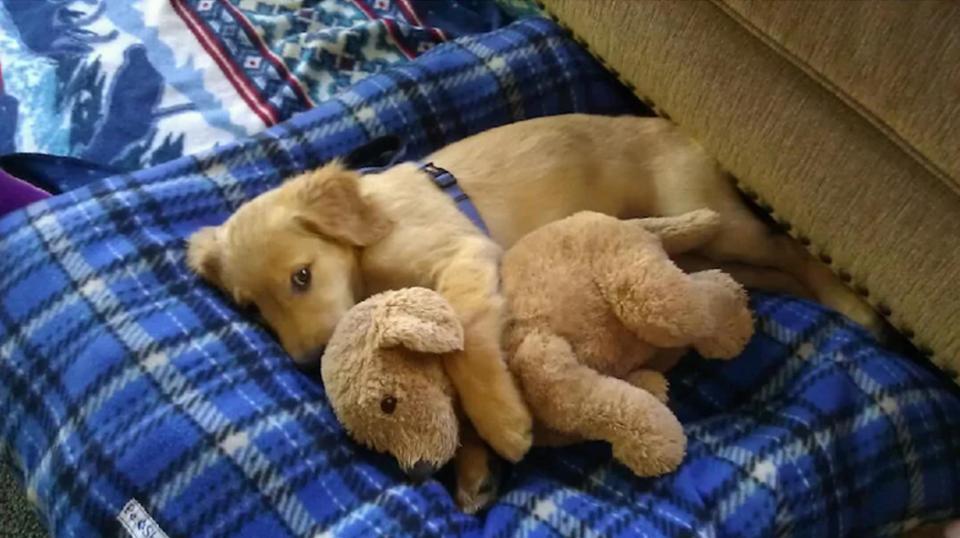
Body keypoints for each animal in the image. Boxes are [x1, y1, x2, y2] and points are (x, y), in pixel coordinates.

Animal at [188, 114, 884, 468]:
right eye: (253, 309)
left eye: (301, 277)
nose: (309, 363)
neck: (368, 246)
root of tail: (682, 128)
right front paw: (473, 472)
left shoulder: (466, 257)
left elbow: (468, 346)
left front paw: (503, 423)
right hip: (704, 245)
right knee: (761, 273)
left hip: (712, 216)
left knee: (790, 250)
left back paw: (855, 307)